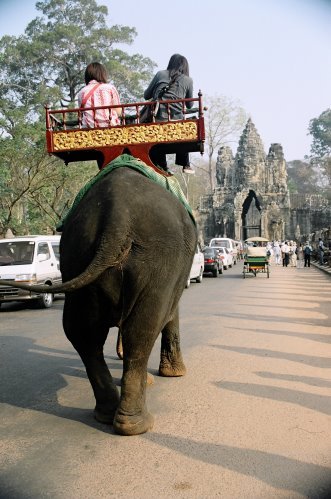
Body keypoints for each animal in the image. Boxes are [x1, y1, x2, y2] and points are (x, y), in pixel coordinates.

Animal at [1, 166, 198, 436]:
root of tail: (117, 215)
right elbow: (170, 312)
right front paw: (173, 375)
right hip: (160, 258)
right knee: (142, 327)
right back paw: (136, 424)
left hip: (77, 254)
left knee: (81, 330)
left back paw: (107, 414)